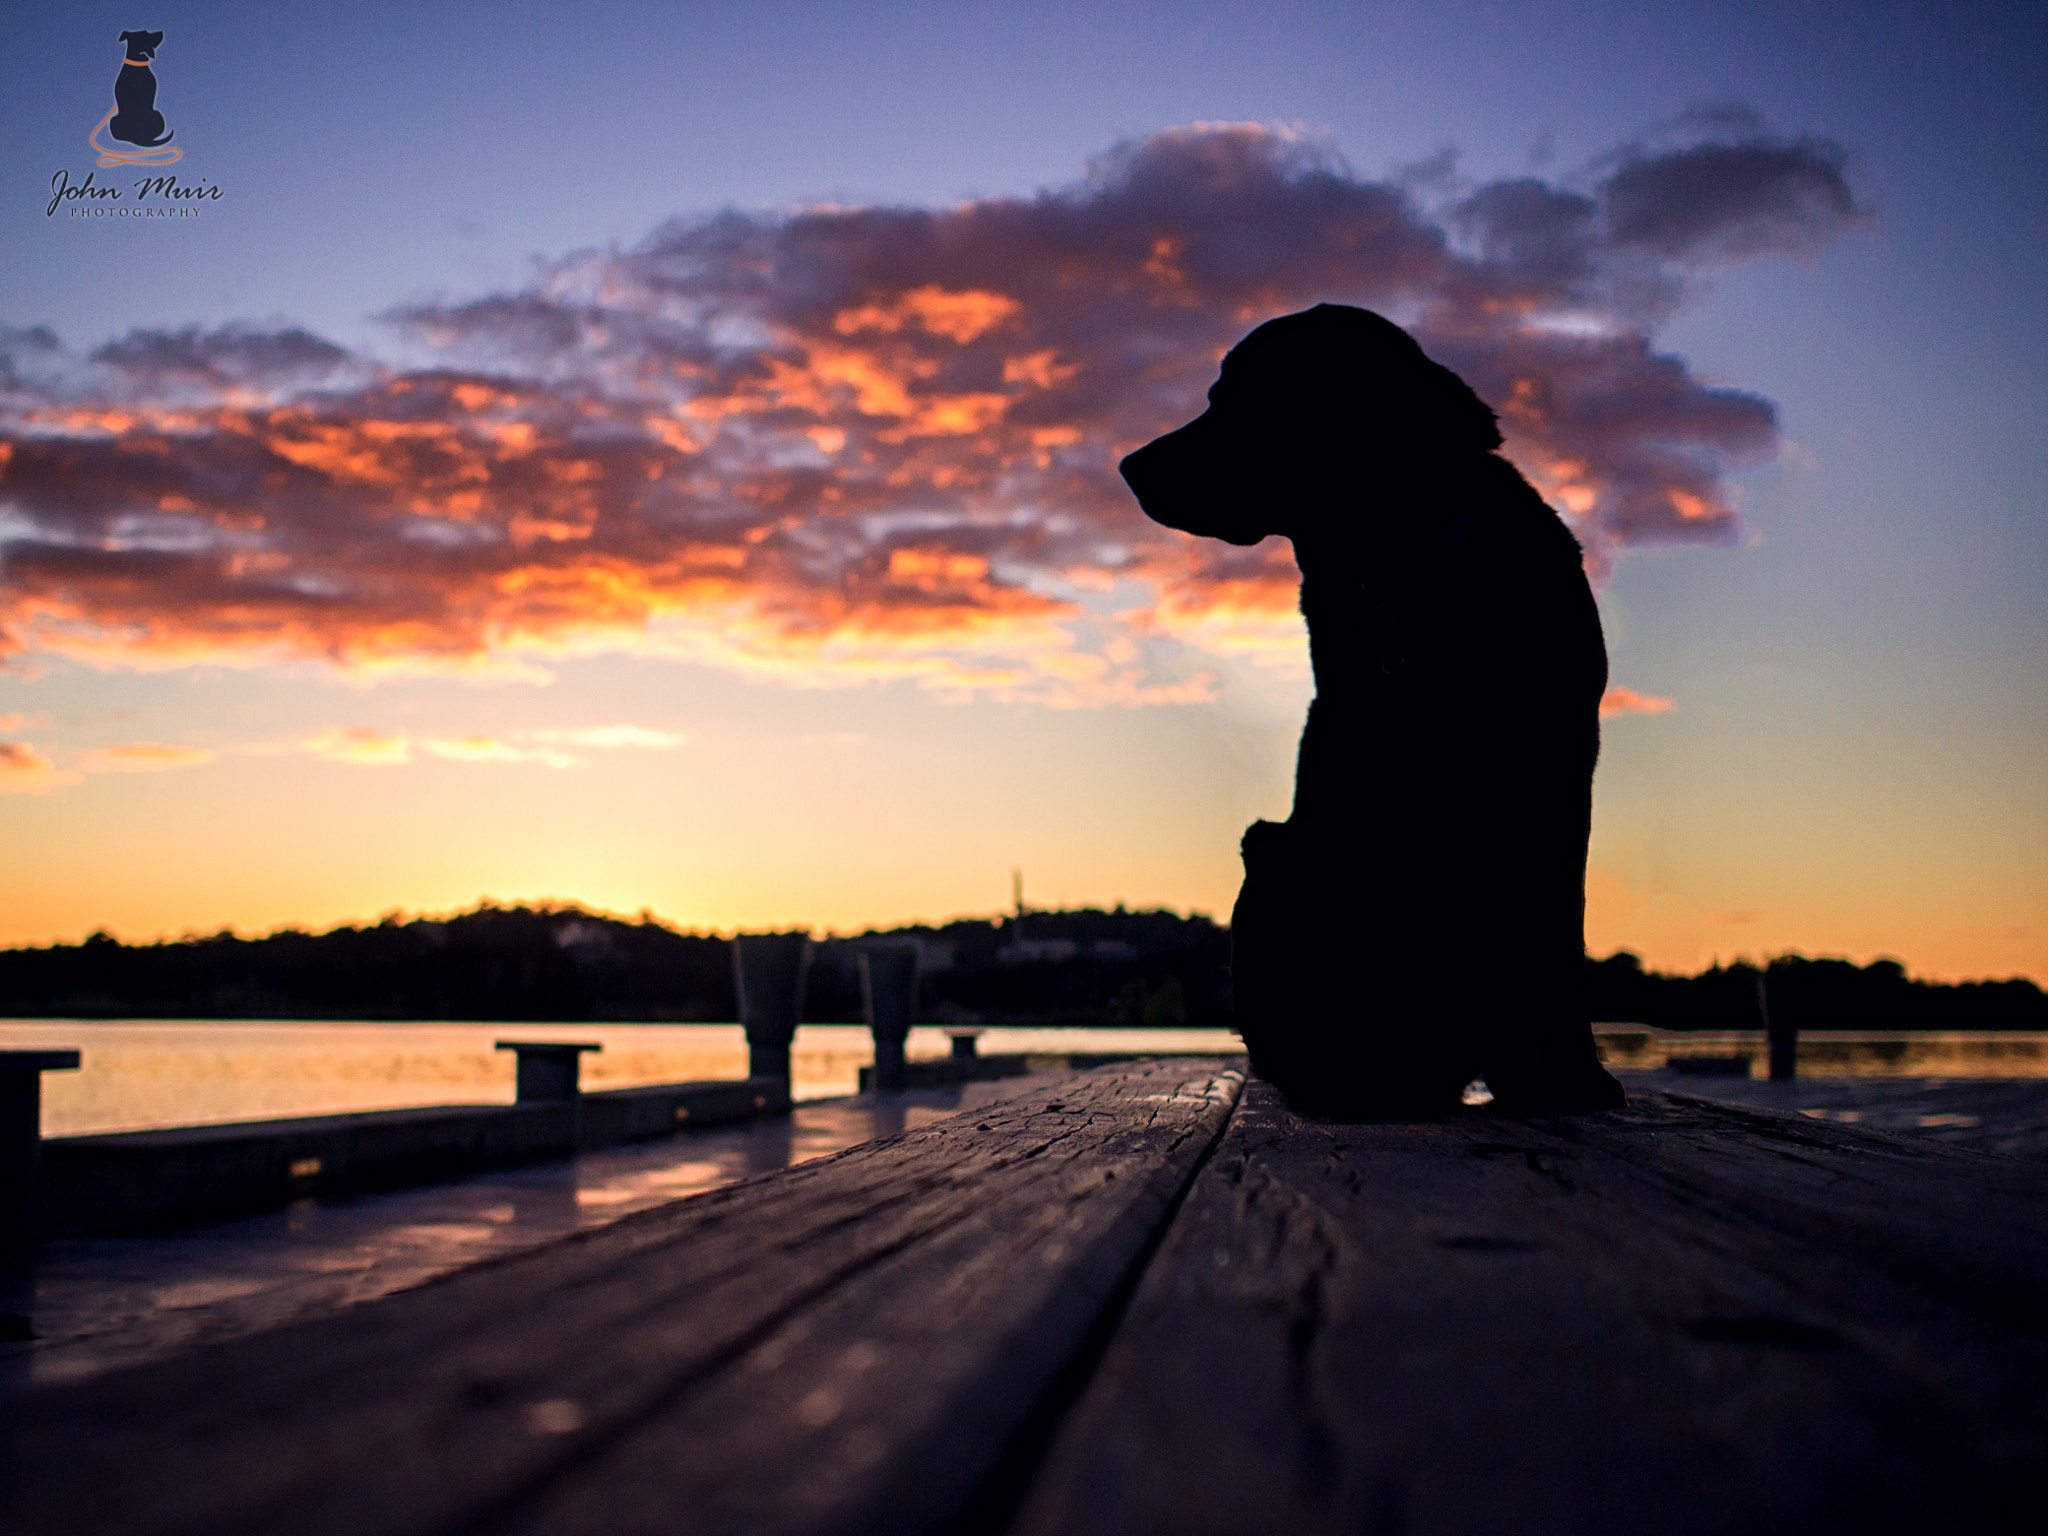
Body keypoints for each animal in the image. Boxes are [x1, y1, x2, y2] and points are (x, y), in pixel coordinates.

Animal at [1114, 303, 1622, 1122]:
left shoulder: (1560, 758)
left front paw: (1566, 1076)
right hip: (1271, 849)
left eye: (1238, 400)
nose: (1130, 465)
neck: (1400, 558)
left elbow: (1553, 935)